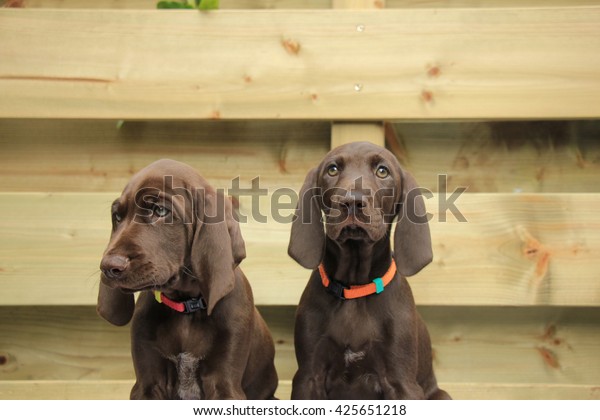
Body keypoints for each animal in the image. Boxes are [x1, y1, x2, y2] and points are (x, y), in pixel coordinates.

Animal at [97, 159, 278, 398]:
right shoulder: (147, 384)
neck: (186, 306)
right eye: (117, 217)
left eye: (160, 210)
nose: (109, 267)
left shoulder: (225, 383)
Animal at [288, 142, 448, 400]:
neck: (355, 289)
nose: (352, 202)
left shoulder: (402, 382)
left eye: (382, 171)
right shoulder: (308, 377)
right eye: (332, 169)